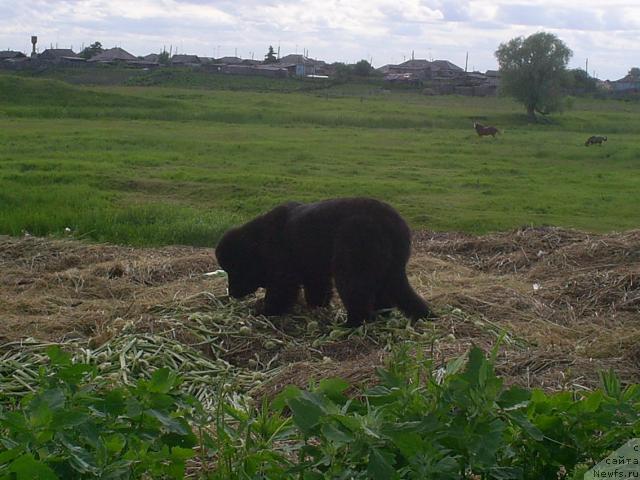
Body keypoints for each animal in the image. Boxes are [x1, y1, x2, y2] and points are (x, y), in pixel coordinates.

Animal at [215, 198, 430, 326]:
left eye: (235, 269)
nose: (231, 292)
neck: (259, 242)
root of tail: (392, 224)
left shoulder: (283, 273)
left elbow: (279, 293)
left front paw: (264, 311)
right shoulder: (314, 272)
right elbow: (317, 291)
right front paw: (317, 308)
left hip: (353, 265)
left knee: (357, 296)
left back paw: (350, 325)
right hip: (389, 271)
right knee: (389, 297)